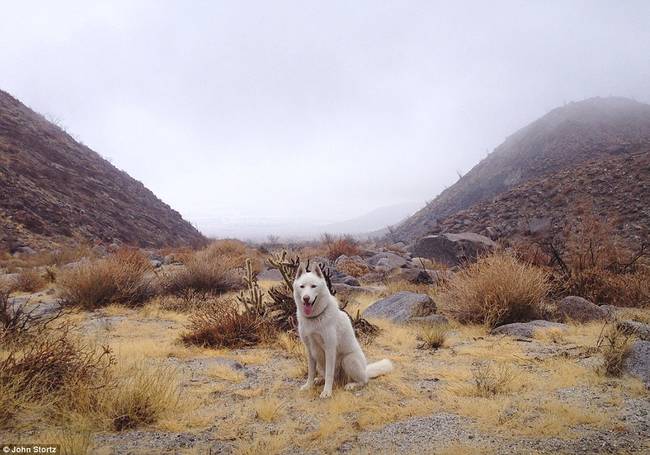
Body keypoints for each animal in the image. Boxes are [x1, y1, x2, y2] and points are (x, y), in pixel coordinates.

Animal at [292, 264, 390, 400]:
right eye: (302, 286)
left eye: (313, 286)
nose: (306, 298)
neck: (315, 318)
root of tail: (366, 369)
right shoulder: (310, 350)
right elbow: (311, 372)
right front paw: (308, 386)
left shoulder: (330, 348)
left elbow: (329, 374)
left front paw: (327, 392)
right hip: (321, 362)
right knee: (327, 376)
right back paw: (320, 380)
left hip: (348, 360)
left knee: (364, 381)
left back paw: (352, 385)